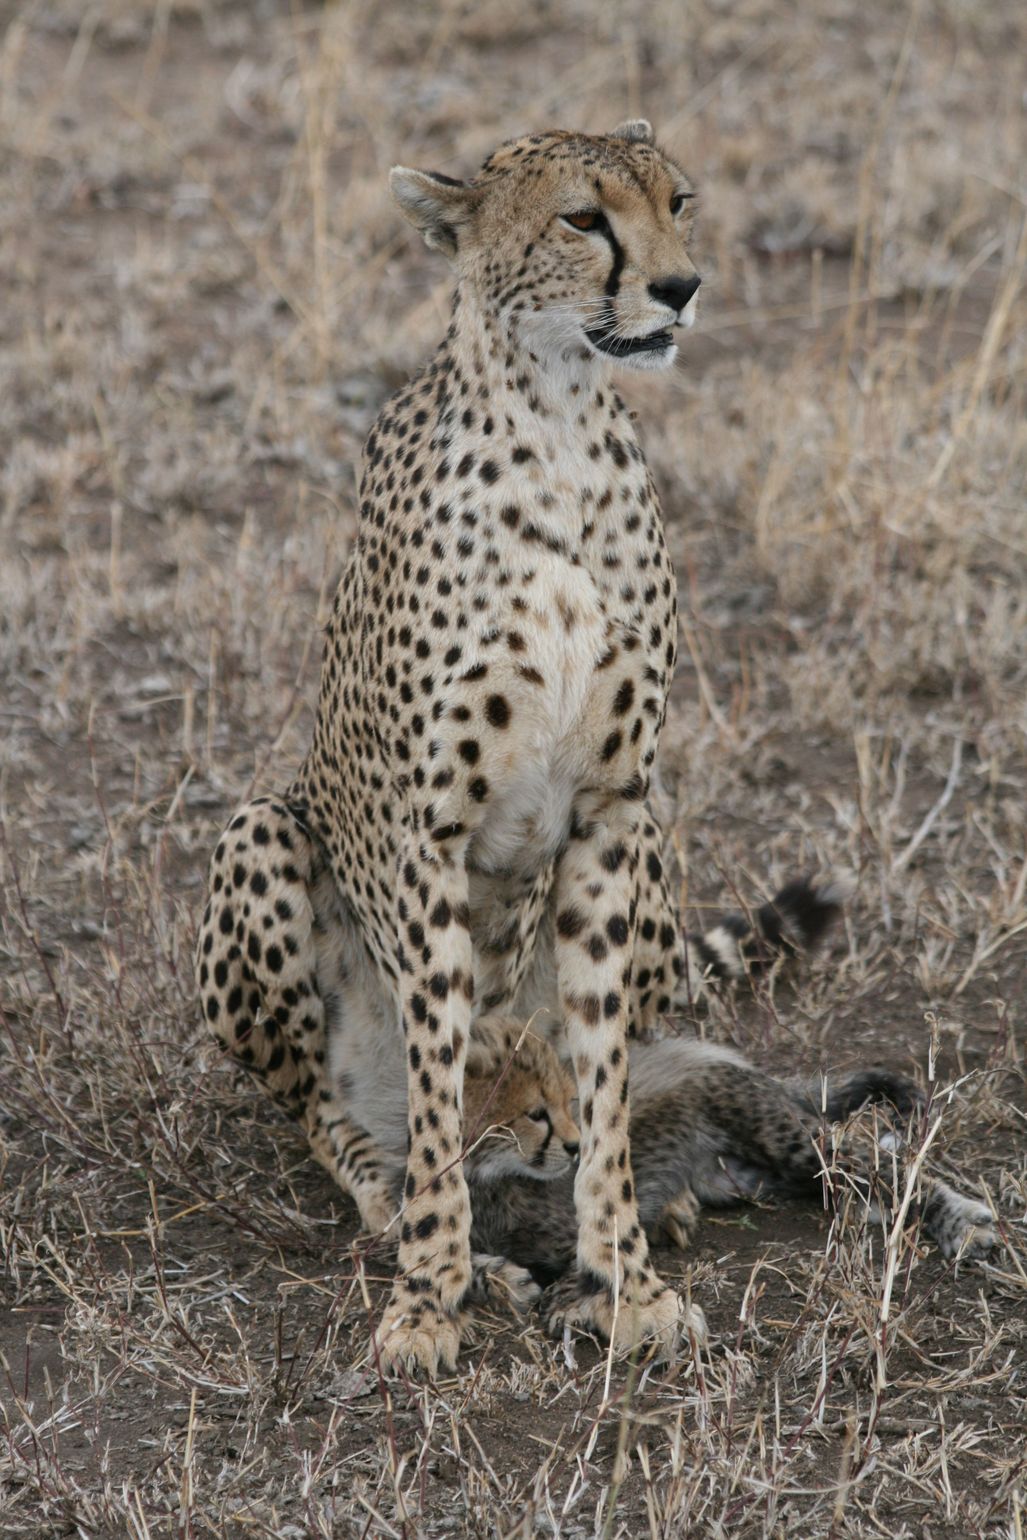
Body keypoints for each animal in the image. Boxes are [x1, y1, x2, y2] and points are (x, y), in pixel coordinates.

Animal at [196, 116, 850, 1377]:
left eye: (679, 202)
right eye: (582, 218)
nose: (682, 287)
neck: (557, 428)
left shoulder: (609, 808)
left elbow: (595, 1077)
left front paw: (627, 1280)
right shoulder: (427, 836)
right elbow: (444, 1090)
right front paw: (427, 1298)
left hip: (654, 849)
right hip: (262, 836)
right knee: (322, 1111)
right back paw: (394, 1200)